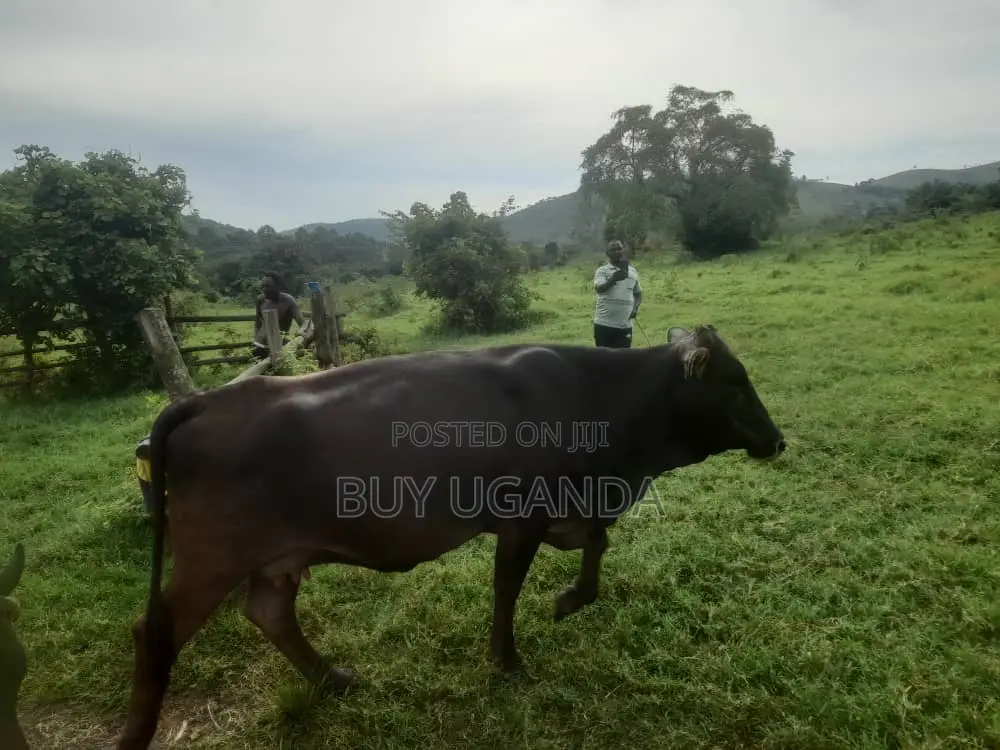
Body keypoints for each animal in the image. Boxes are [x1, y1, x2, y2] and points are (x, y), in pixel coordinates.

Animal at [116, 325, 786, 749]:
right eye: (736, 381)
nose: (778, 440)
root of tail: (208, 400)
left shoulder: (576, 504)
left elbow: (597, 543)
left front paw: (571, 599)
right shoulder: (524, 515)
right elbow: (508, 588)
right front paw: (507, 659)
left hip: (275, 557)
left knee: (269, 612)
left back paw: (334, 679)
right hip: (210, 557)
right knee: (154, 631)